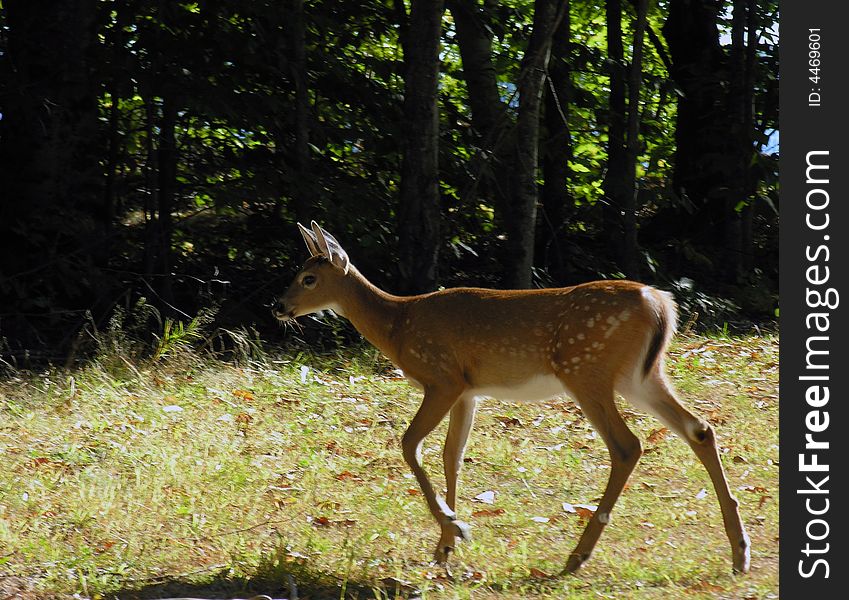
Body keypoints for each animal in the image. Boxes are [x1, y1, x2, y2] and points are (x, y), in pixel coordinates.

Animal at [272, 223, 748, 576]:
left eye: (308, 278)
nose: (278, 306)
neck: (398, 325)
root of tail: (659, 302)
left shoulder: (441, 377)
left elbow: (410, 445)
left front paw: (455, 529)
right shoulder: (469, 391)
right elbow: (452, 457)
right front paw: (446, 546)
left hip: (586, 369)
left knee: (627, 445)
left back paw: (577, 556)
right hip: (641, 375)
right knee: (699, 428)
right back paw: (739, 551)